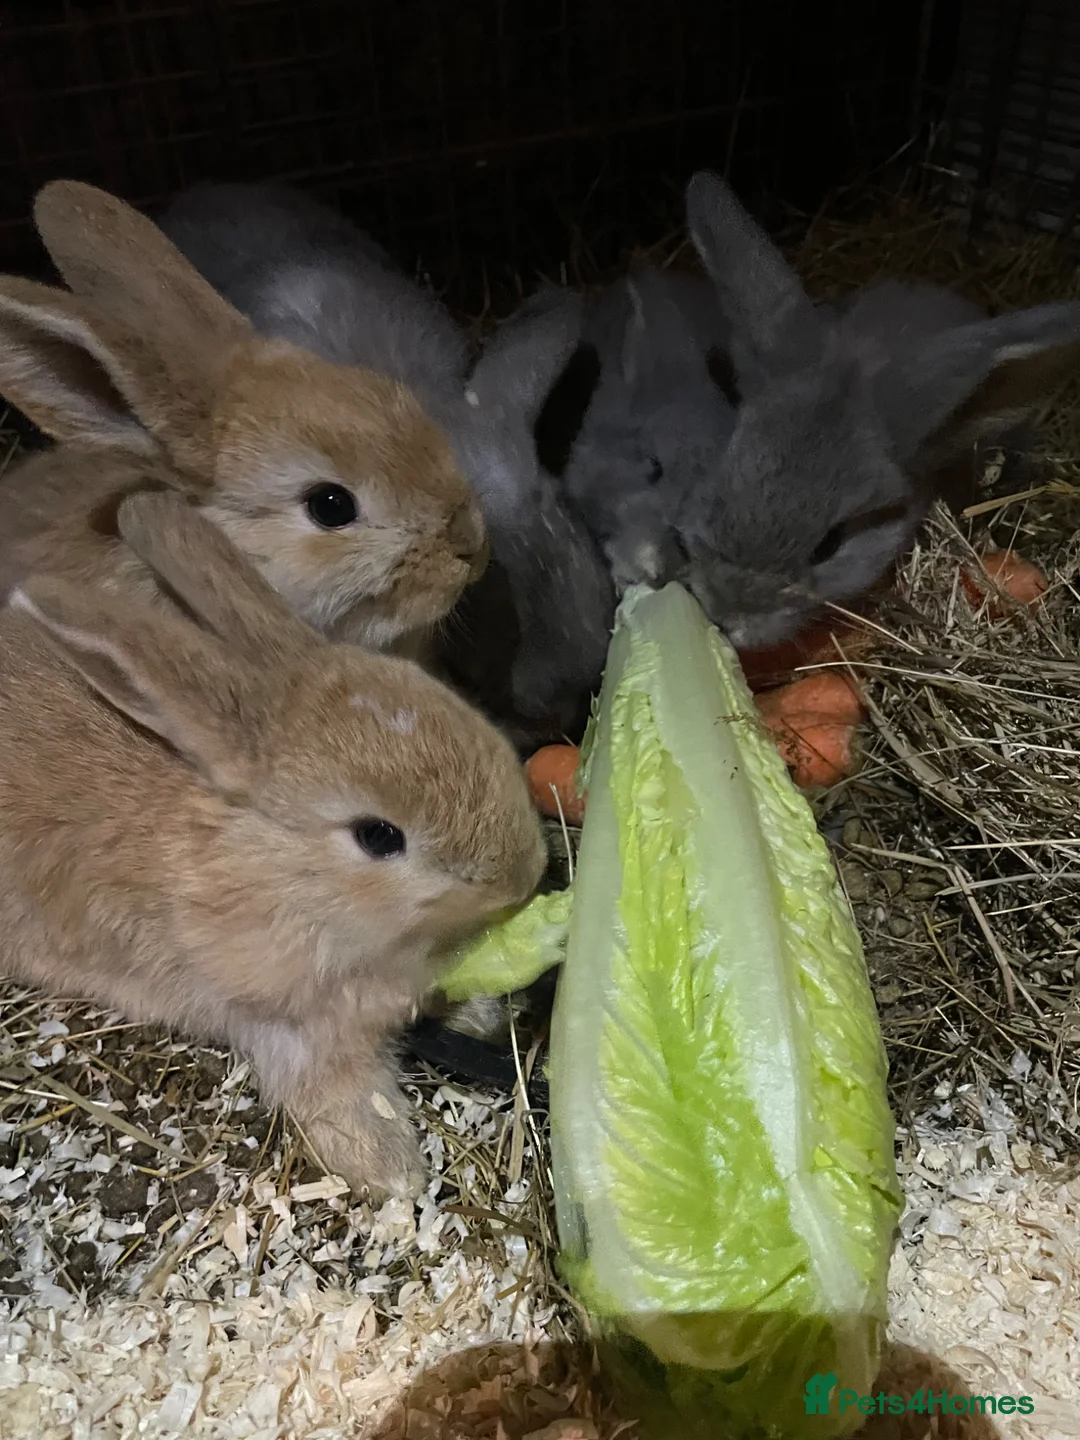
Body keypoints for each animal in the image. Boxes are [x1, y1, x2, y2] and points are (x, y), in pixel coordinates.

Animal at [0, 490, 546, 1198]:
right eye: (378, 836)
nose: (527, 873)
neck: (276, 877)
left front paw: (483, 1012)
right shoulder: (286, 1022)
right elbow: (341, 1092)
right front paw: (394, 1171)